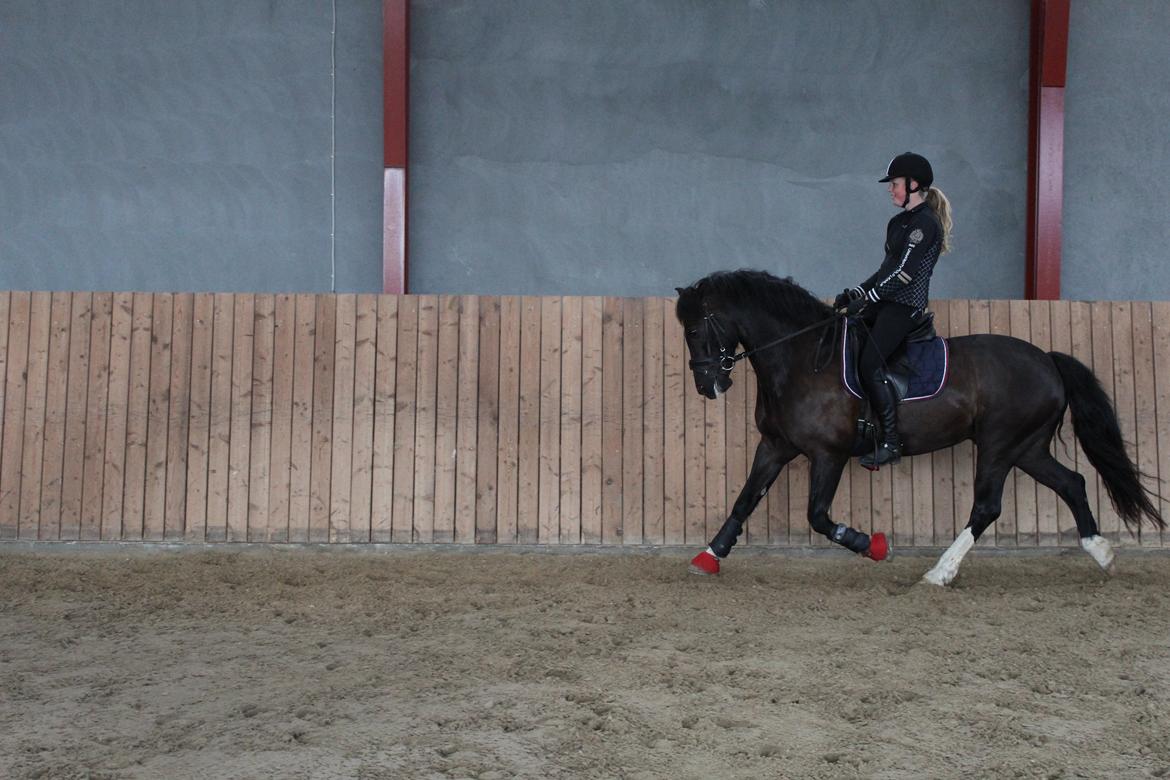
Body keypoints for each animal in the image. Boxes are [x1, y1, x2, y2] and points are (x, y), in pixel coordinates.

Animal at [673, 271, 1165, 582]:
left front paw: (873, 546)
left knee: (987, 507)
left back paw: (939, 573)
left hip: (1000, 445)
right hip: (1027, 448)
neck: (802, 358)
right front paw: (709, 556)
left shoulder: (828, 454)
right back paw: (1102, 553)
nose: (708, 385)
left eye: (696, 330)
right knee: (1073, 483)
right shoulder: (775, 445)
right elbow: (745, 500)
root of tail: (1047, 360)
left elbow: (818, 516)